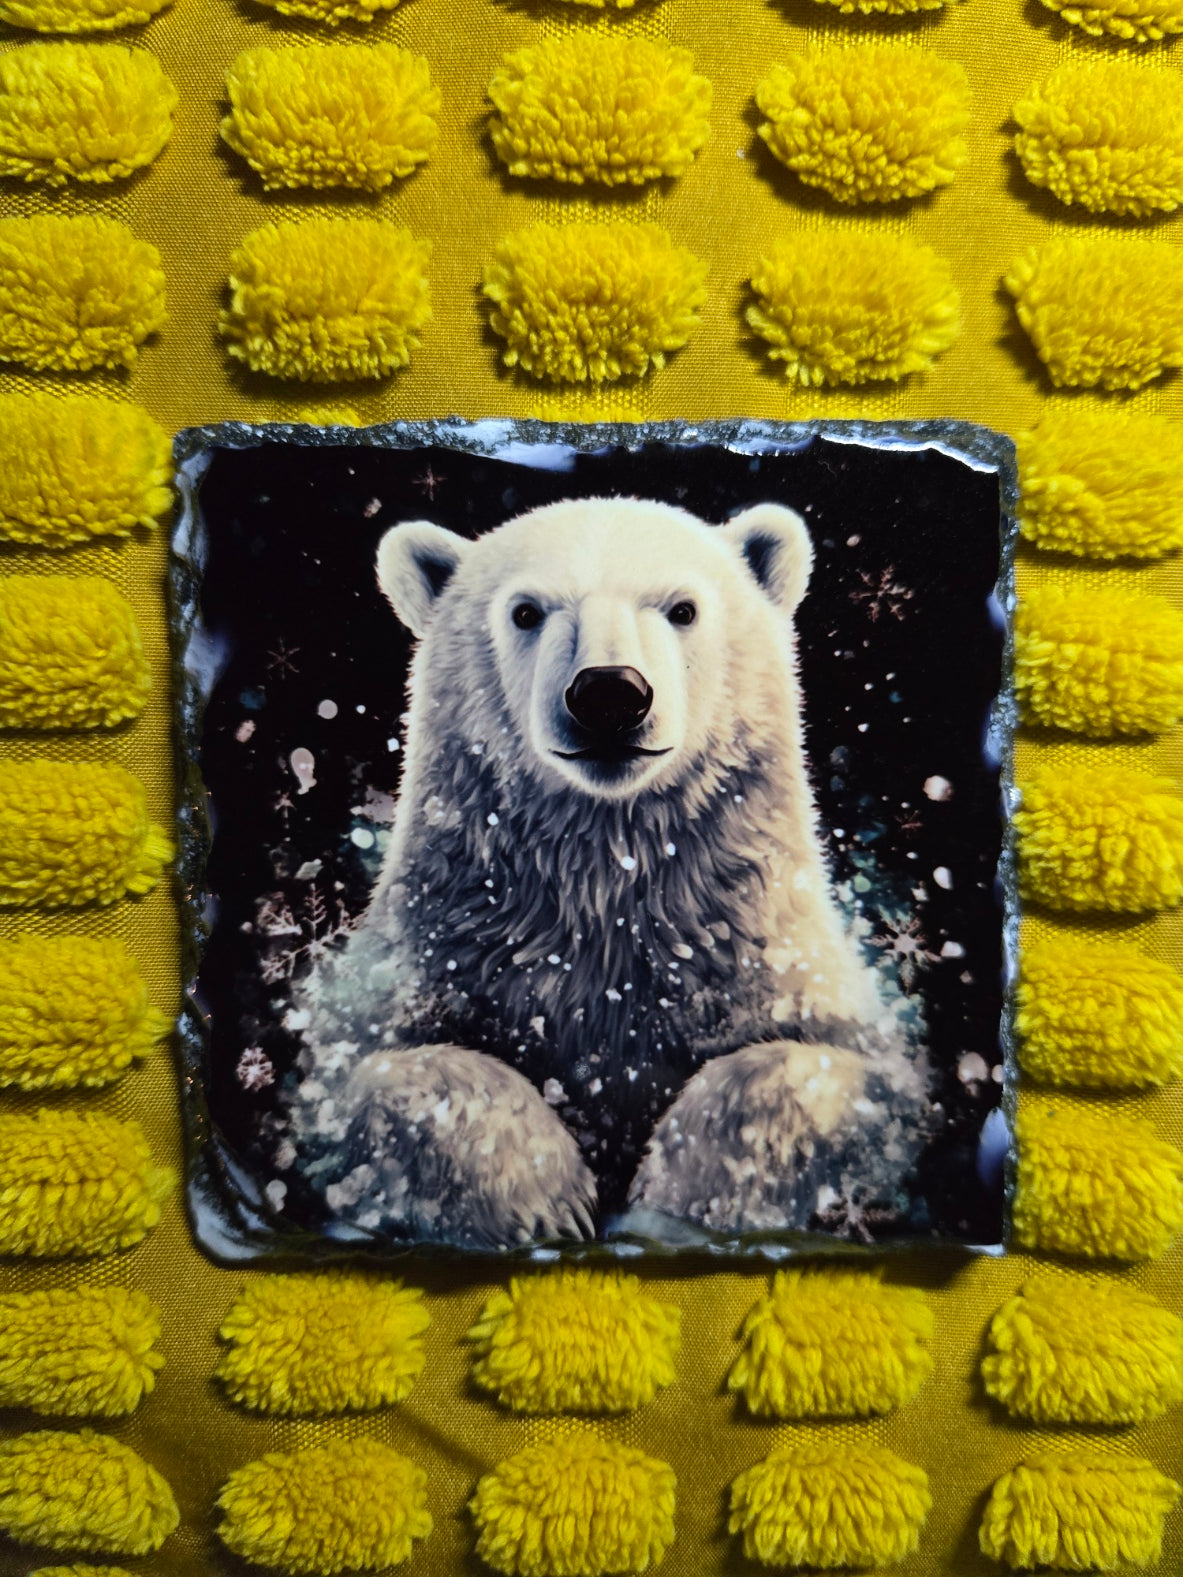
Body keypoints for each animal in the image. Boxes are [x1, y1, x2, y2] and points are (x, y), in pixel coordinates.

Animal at [287, 495, 930, 1250]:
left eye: (682, 608)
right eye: (526, 611)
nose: (609, 693)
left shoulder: (768, 958)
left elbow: (828, 1070)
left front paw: (675, 1200)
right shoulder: (435, 953)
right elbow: (375, 1076)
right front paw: (546, 1195)